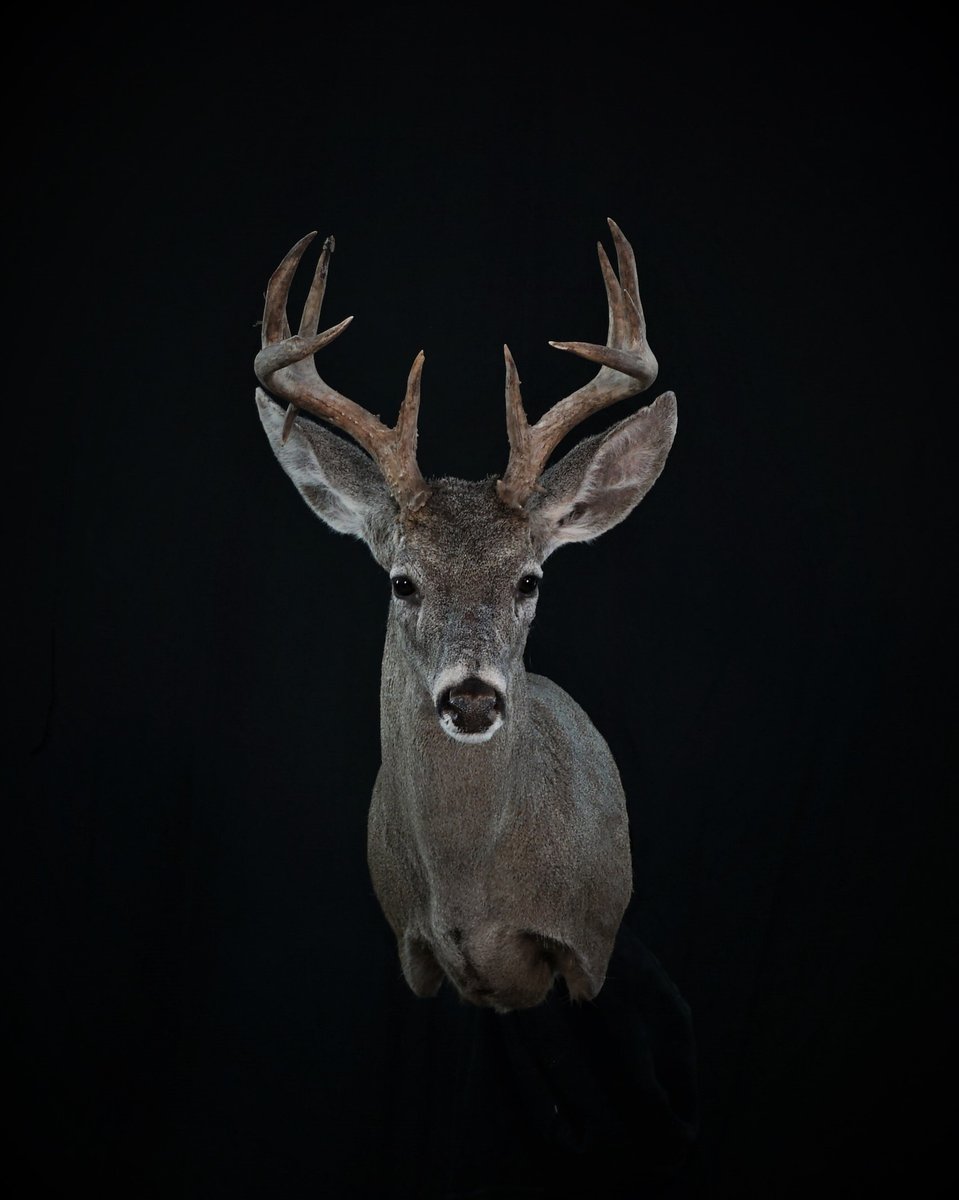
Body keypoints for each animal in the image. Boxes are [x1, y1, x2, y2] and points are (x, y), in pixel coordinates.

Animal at [253, 219, 677, 1014]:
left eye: (529, 580)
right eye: (401, 583)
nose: (473, 697)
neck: (471, 901)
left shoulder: (590, 948)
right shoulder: (414, 955)